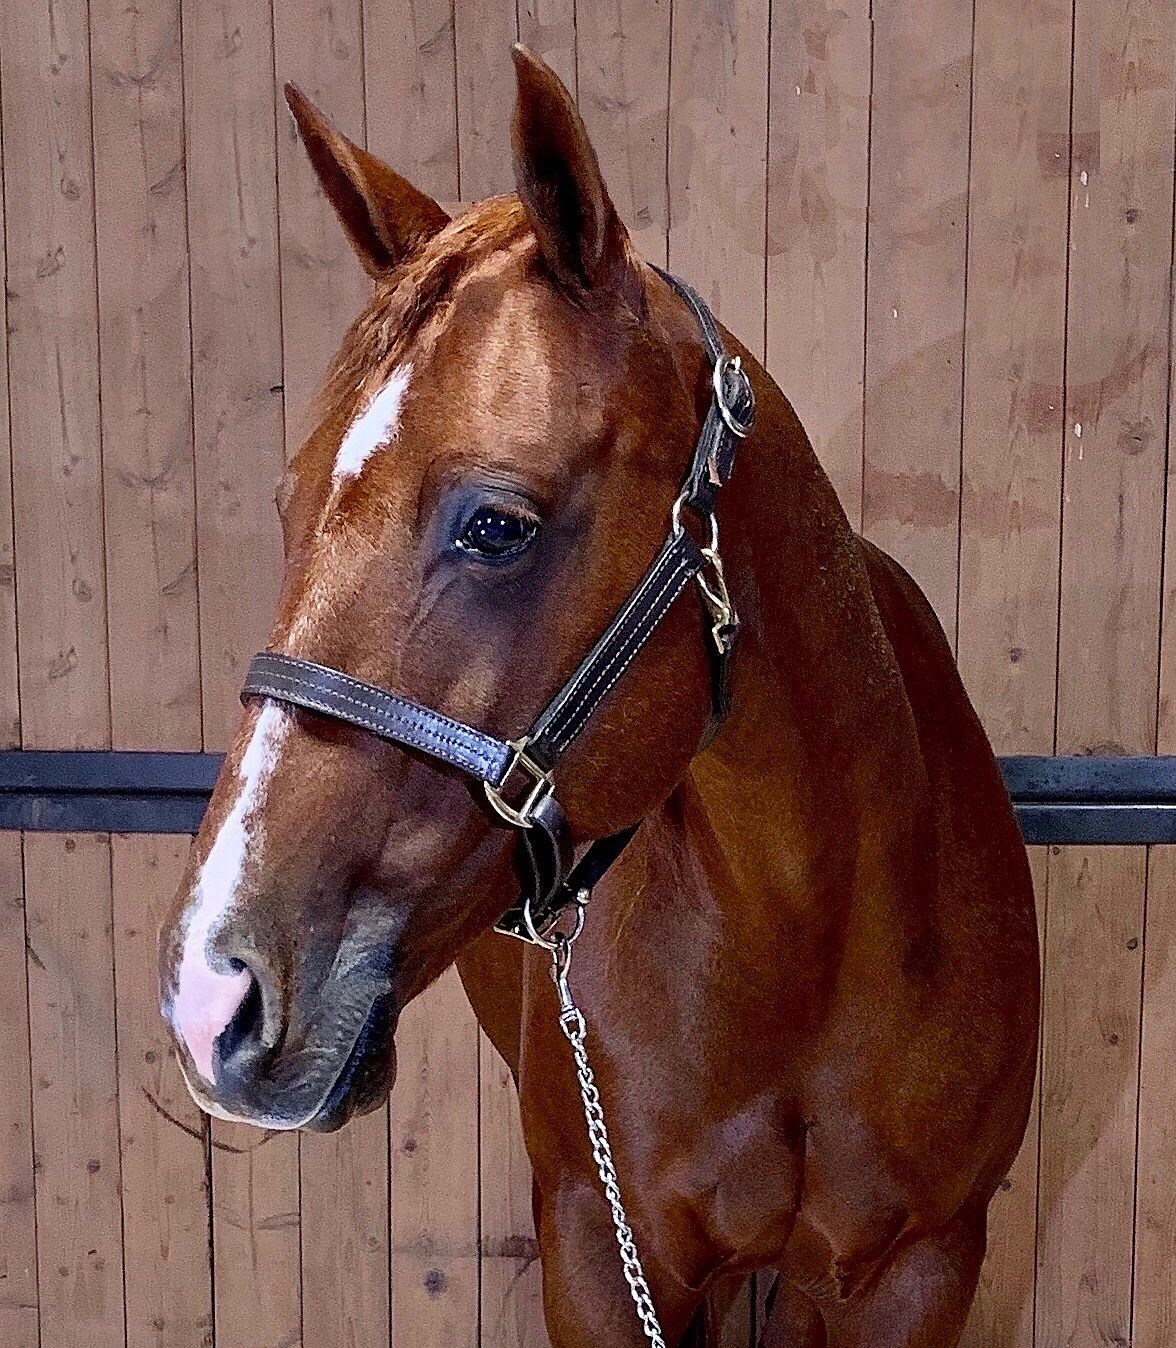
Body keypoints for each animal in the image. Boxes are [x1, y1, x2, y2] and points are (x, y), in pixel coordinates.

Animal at [158, 46, 1040, 1347]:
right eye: (290, 504)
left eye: (496, 523)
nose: (210, 996)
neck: (808, 934)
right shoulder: (597, 1243)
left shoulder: (921, 1266)